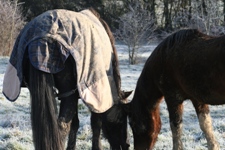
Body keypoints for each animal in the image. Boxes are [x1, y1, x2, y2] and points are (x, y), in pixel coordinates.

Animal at [2, 8, 131, 150]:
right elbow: (95, 123)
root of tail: (42, 40)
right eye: (122, 116)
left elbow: (75, 123)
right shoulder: (96, 94)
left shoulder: (76, 94)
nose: (127, 144)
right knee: (61, 127)